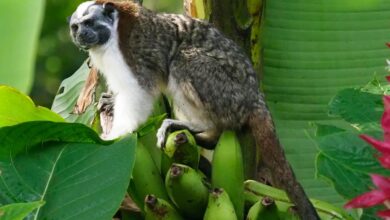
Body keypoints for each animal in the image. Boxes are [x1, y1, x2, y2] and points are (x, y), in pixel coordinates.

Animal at [69, 0, 320, 218]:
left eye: (89, 23)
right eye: (76, 27)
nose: (81, 35)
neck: (110, 37)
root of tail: (255, 97)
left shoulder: (133, 52)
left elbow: (140, 90)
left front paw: (116, 134)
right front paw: (111, 102)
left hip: (227, 95)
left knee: (182, 60)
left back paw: (199, 126)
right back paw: (208, 138)